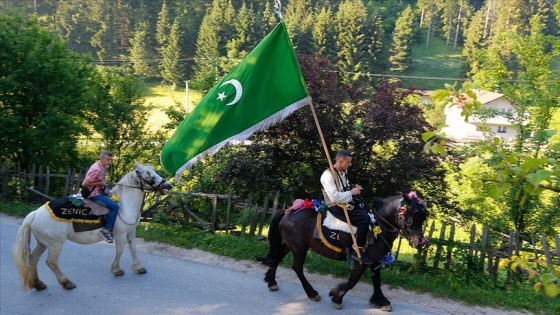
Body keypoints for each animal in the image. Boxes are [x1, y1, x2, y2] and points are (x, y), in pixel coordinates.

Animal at [12, 163, 172, 292]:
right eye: (148, 173)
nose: (168, 185)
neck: (123, 207)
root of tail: (35, 213)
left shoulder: (131, 231)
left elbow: (133, 249)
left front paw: (138, 268)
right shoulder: (119, 234)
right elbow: (120, 251)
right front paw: (116, 269)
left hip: (43, 242)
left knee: (33, 259)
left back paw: (38, 284)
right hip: (55, 244)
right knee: (51, 262)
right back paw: (67, 283)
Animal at [258, 190, 428, 312]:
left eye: (424, 216)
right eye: (412, 214)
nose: (420, 242)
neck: (377, 227)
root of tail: (289, 211)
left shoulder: (374, 261)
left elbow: (377, 281)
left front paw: (381, 300)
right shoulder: (362, 261)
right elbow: (352, 281)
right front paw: (336, 296)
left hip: (290, 244)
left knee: (277, 258)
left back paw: (272, 282)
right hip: (299, 248)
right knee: (297, 267)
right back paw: (312, 293)